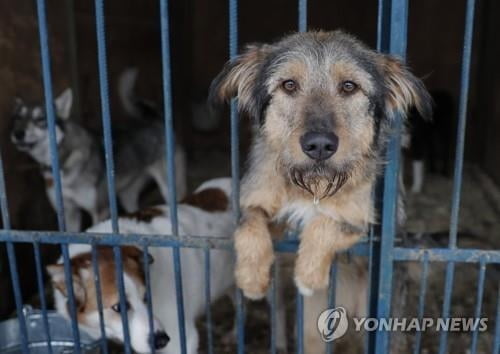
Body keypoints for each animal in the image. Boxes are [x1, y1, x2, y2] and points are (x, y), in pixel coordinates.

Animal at [11, 70, 188, 231]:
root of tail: (155, 121)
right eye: (17, 118)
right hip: (127, 195)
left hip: (170, 188)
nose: (18, 133)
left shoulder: (100, 210)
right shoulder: (68, 213)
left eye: (40, 119)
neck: (63, 161)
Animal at [47, 178, 290, 354]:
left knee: (277, 309)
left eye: (147, 297)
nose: (161, 340)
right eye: (118, 307)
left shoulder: (183, 337)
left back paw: (279, 343)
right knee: (240, 305)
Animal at [209, 30, 432, 298]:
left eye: (349, 86)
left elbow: (328, 221)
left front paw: (308, 277)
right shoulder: (257, 200)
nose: (319, 145)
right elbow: (249, 222)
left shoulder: (372, 228)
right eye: (289, 85)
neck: (314, 185)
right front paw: (251, 278)